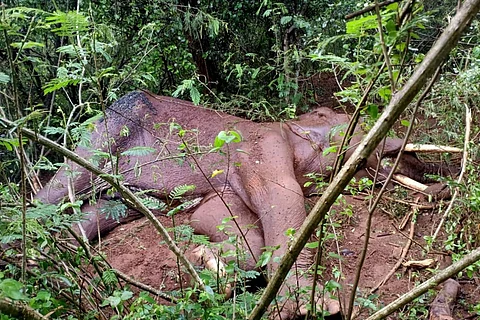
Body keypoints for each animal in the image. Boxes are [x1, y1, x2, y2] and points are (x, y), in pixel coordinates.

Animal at [35, 90, 456, 320]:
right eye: (351, 131)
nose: (443, 188)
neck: (288, 126)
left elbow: (215, 218)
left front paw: (210, 262)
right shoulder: (260, 150)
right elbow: (284, 201)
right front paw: (313, 307)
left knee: (96, 212)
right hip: (102, 136)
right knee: (59, 191)